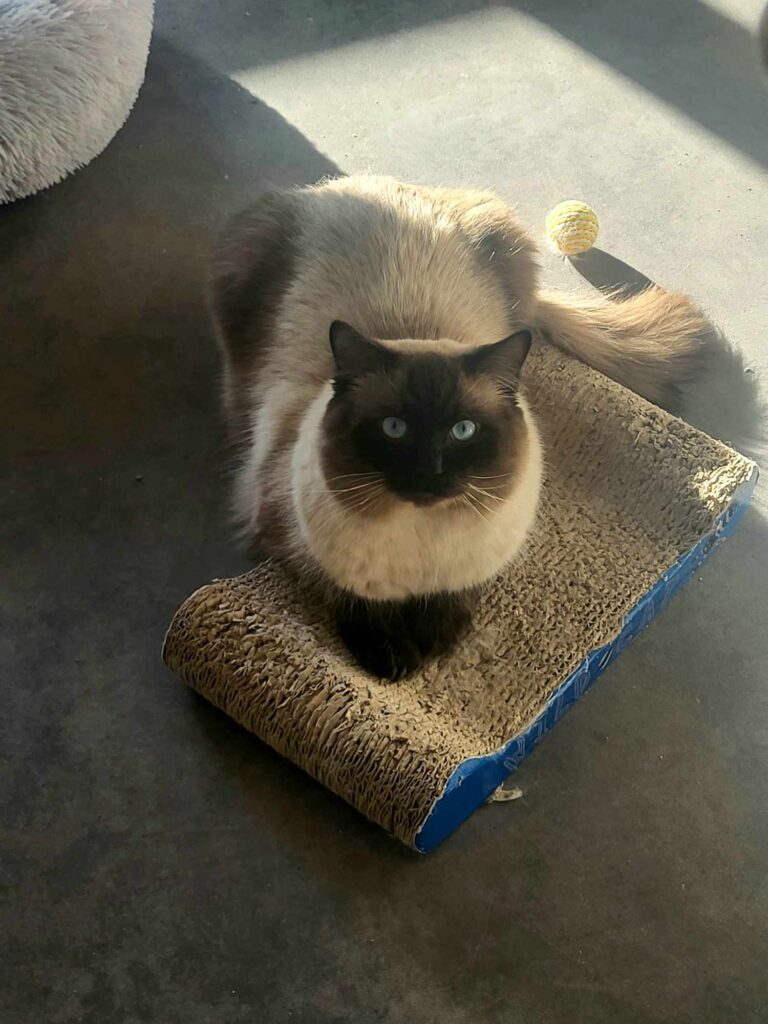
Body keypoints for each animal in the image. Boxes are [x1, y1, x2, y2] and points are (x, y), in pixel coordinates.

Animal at [210, 174, 708, 679]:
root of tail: (359, 181)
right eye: (394, 428)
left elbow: (454, 597)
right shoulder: (285, 528)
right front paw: (392, 658)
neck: (420, 534)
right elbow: (351, 594)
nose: (429, 472)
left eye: (462, 431)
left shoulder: (480, 559)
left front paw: (434, 639)